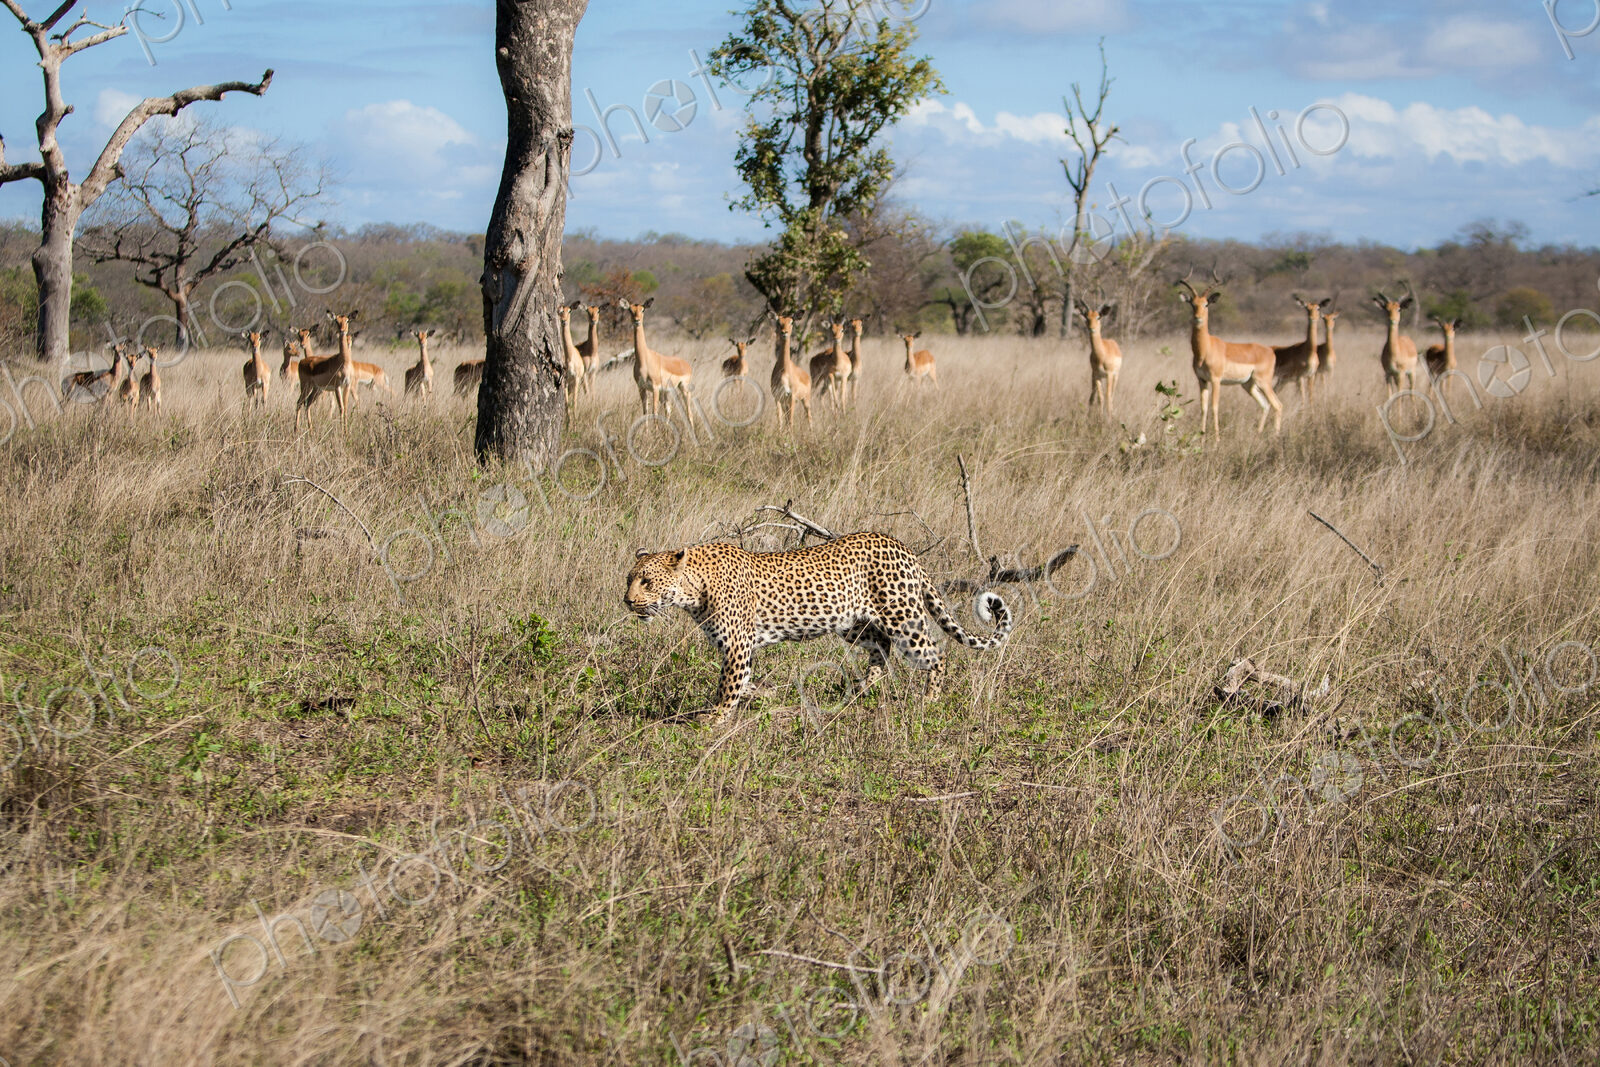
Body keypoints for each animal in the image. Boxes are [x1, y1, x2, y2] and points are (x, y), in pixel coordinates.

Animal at [619, 297, 695, 429]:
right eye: (630, 310)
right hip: (667, 392)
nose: (637, 320)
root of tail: (686, 364)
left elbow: (654, 411)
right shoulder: (641, 388)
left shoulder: (655, 388)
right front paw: (647, 432)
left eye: (643, 309)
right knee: (668, 410)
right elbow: (645, 411)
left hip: (684, 389)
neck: (644, 361)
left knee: (689, 412)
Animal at [623, 531, 1013, 720]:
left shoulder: (736, 646)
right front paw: (763, 696)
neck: (692, 590)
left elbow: (728, 686)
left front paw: (713, 720)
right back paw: (860, 690)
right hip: (852, 623)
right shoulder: (739, 648)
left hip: (902, 617)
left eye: (646, 582)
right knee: (881, 648)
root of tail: (902, 546)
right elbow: (743, 682)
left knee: (936, 653)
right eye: (629, 579)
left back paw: (929, 698)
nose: (627, 601)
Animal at [1175, 274, 1282, 434]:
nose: (1198, 318)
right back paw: (1259, 434)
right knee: (1265, 405)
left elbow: (1214, 407)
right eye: (1193, 304)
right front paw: (1202, 435)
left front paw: (1216, 438)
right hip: (1249, 385)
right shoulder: (1202, 380)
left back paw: (1275, 435)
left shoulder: (1216, 380)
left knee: (1278, 405)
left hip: (1263, 382)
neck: (1205, 349)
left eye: (1206, 304)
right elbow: (1203, 408)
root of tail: (1270, 350)